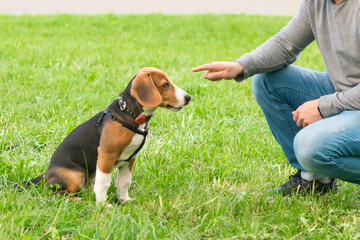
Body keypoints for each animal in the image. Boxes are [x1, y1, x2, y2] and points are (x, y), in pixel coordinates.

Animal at [23, 67, 190, 204]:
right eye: (165, 84)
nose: (188, 97)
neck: (130, 114)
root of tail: (46, 174)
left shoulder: (130, 159)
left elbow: (124, 182)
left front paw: (124, 201)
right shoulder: (106, 156)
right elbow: (104, 183)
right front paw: (103, 206)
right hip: (75, 176)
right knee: (55, 194)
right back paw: (77, 200)